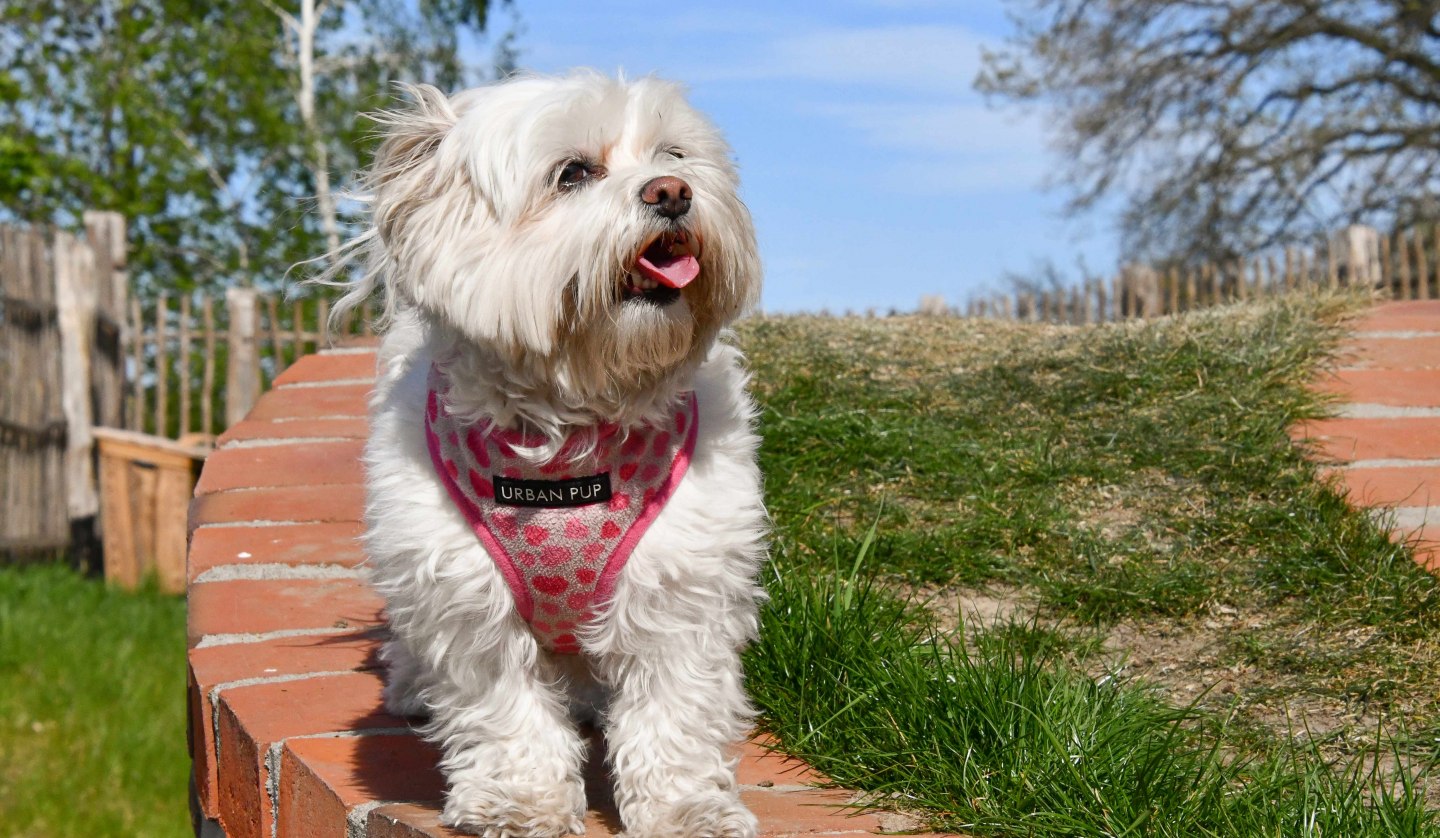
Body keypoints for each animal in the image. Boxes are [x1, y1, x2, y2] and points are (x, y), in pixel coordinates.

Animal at [325, 72, 771, 838]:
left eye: (675, 155)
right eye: (573, 174)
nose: (672, 193)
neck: (573, 431)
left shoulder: (683, 585)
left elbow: (674, 708)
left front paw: (687, 809)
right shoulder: (466, 596)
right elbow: (505, 712)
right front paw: (521, 802)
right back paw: (413, 686)